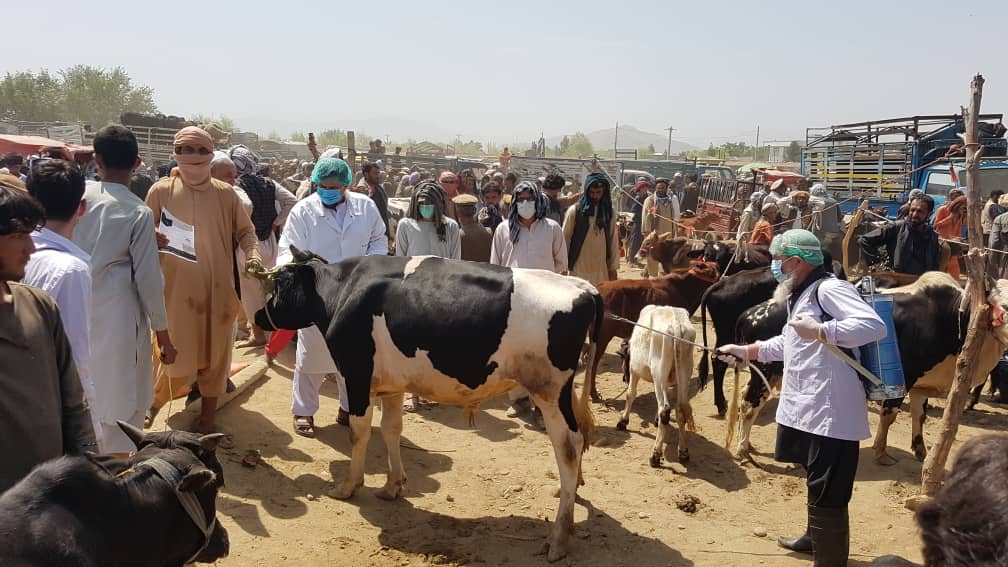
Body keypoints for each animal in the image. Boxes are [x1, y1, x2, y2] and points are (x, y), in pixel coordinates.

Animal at [254, 248, 596, 560]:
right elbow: (391, 429)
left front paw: (349, 486)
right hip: (562, 393)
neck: (343, 290)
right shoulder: (392, 383)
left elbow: (358, 432)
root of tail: (582, 287)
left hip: (549, 392)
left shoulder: (356, 374)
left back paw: (559, 538)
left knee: (568, 447)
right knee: (579, 438)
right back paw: (573, 493)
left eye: (281, 283)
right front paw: (393, 485)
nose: (258, 316)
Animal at [729, 272, 1008, 464]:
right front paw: (881, 451)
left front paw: (920, 449)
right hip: (765, 372)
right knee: (749, 404)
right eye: (1004, 305)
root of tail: (752, 312)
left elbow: (919, 415)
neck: (953, 316)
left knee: (746, 400)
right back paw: (743, 449)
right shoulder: (904, 378)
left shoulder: (922, 384)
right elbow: (889, 415)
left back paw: (748, 445)